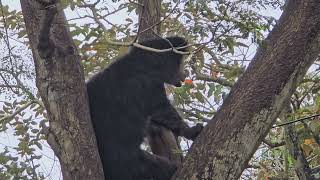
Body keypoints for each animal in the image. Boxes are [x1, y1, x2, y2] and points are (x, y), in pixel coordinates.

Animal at [87, 37, 202, 180]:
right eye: (180, 62)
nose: (184, 75)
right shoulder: (149, 86)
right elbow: (163, 110)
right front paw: (191, 131)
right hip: (135, 166)